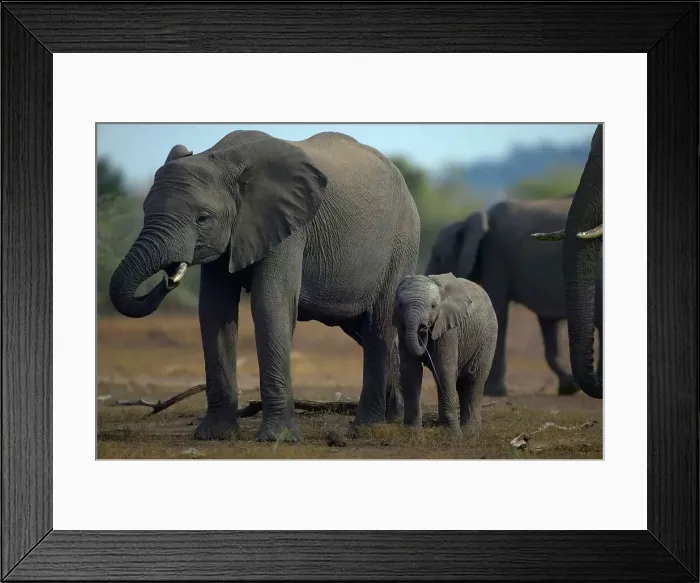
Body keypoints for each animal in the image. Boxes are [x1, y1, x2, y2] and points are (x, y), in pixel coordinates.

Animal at [108, 130, 420, 441]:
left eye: (203, 218)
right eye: (145, 210)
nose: (169, 277)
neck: (225, 160)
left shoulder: (289, 227)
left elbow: (271, 305)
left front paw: (277, 438)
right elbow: (214, 311)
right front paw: (215, 436)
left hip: (401, 242)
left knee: (378, 327)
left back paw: (367, 427)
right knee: (364, 330)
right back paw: (393, 419)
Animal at [393, 273, 498, 435]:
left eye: (433, 306)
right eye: (400, 305)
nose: (423, 327)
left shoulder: (449, 328)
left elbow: (444, 368)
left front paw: (453, 437)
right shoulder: (402, 328)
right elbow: (411, 370)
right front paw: (412, 434)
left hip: (488, 337)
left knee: (473, 378)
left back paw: (470, 432)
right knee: (461, 383)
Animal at [425, 195, 602, 397]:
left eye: (439, 257)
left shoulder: (495, 256)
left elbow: (499, 311)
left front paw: (493, 392)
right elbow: (548, 324)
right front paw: (568, 387)